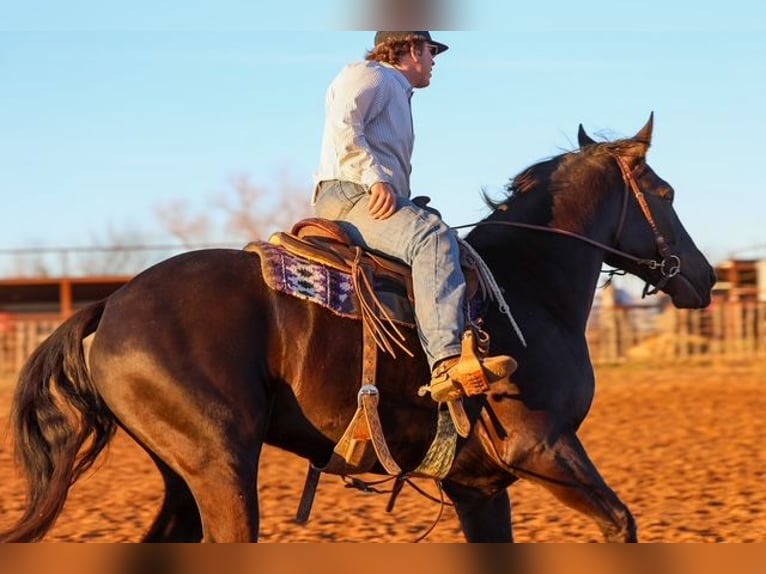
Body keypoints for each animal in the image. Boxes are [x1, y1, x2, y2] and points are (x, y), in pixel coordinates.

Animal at [0, 114, 716, 542]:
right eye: (667, 194)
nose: (704, 277)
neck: (527, 289)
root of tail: (112, 303)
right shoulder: (542, 448)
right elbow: (621, 523)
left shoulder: (478, 488)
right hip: (220, 466)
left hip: (183, 475)